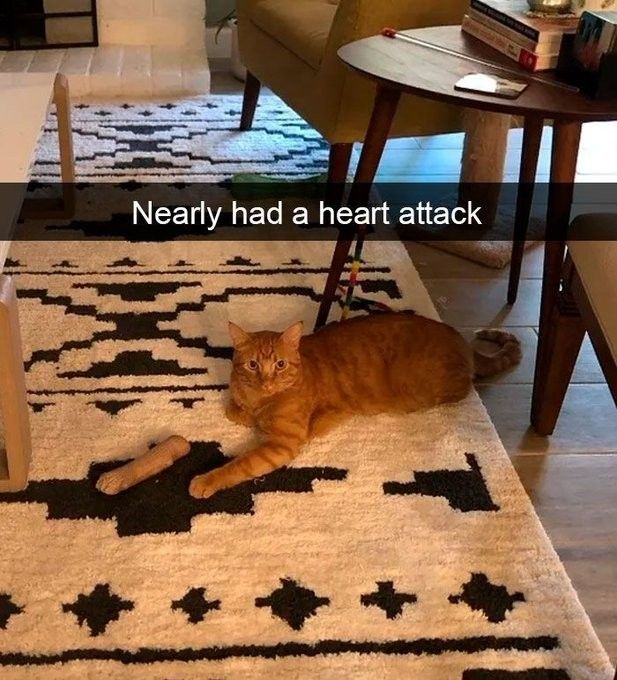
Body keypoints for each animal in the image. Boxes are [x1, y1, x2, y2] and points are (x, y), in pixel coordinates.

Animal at [189, 314, 520, 500]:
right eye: (253, 365)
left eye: (280, 365)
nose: (267, 381)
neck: (260, 399)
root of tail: (462, 341)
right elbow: (233, 410)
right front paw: (247, 415)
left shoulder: (282, 444)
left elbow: (239, 464)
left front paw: (206, 479)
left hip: (431, 391)